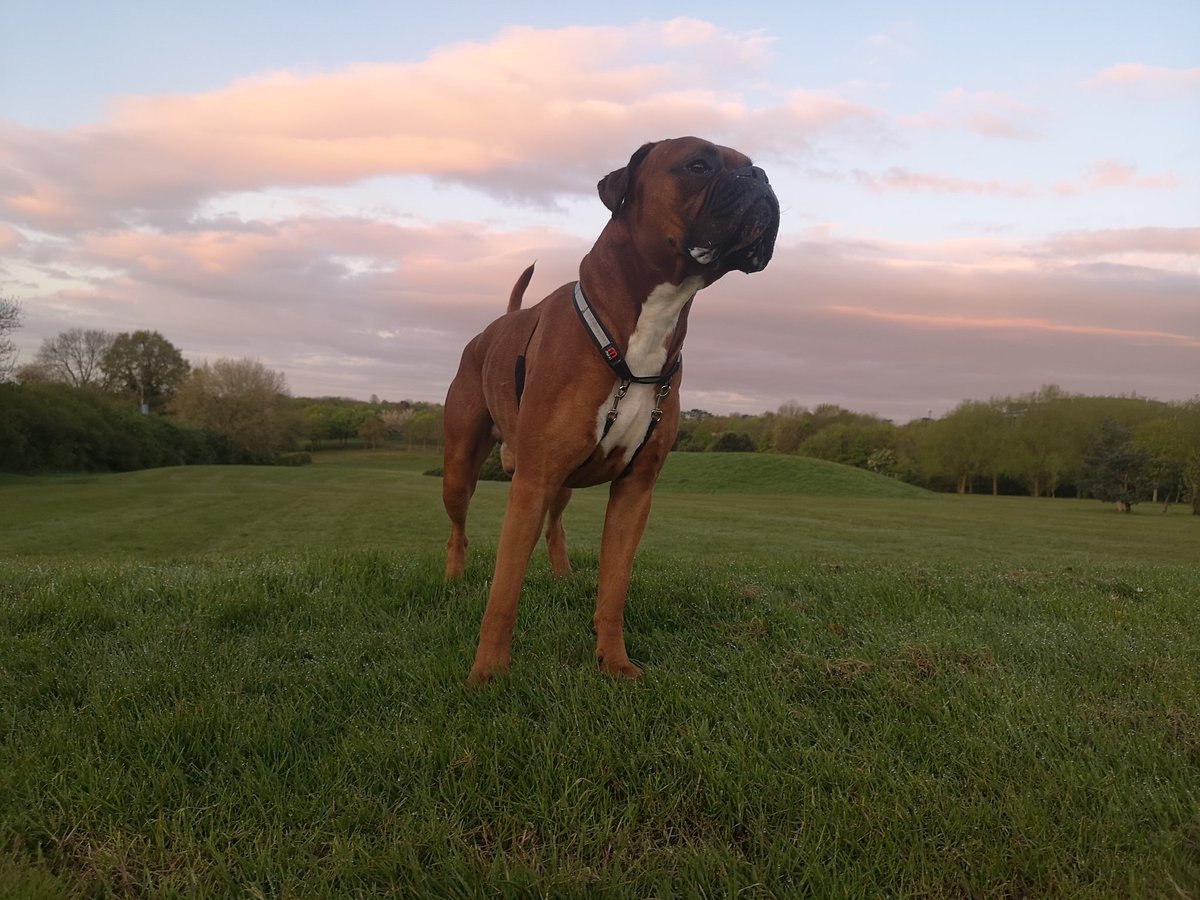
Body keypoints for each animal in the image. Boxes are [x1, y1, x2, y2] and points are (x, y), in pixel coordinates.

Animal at [446, 135, 782, 681]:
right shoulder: (532, 481)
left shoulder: (634, 491)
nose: (761, 178)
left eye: (753, 167)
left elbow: (614, 587)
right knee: (459, 528)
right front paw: (489, 674)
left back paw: (562, 574)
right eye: (698, 164)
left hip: (562, 483)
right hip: (460, 469)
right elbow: (504, 593)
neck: (647, 320)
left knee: (555, 526)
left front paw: (613, 661)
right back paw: (453, 579)